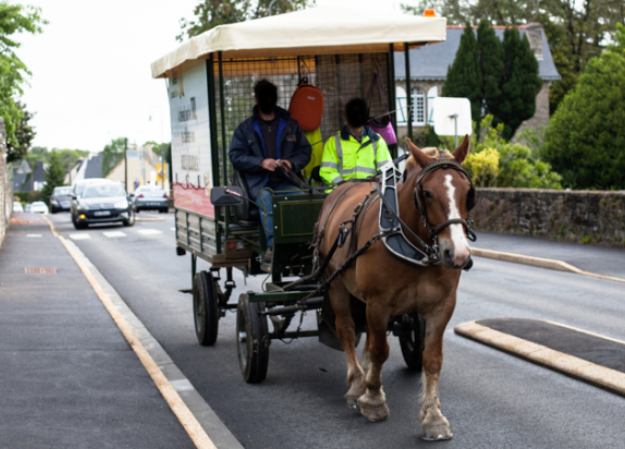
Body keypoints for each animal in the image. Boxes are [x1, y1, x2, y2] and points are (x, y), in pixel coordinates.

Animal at [320, 136, 470, 438]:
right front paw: (373, 400)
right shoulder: (378, 303)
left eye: (468, 191)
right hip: (336, 284)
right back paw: (357, 382)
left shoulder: (442, 306)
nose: (458, 255)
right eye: (427, 193)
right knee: (347, 329)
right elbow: (380, 351)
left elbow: (432, 358)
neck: (412, 244)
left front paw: (433, 417)